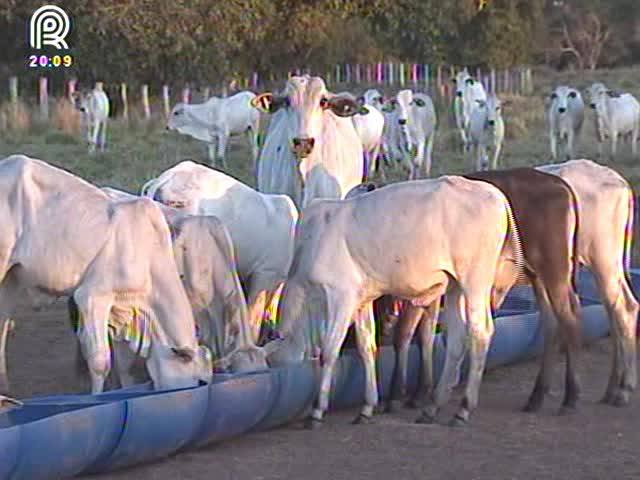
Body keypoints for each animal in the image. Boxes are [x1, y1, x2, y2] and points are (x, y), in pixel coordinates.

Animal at [536, 160, 640, 404]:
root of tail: (620, 182)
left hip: (603, 259)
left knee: (624, 309)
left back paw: (623, 389)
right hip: (609, 263)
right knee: (616, 311)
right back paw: (613, 387)